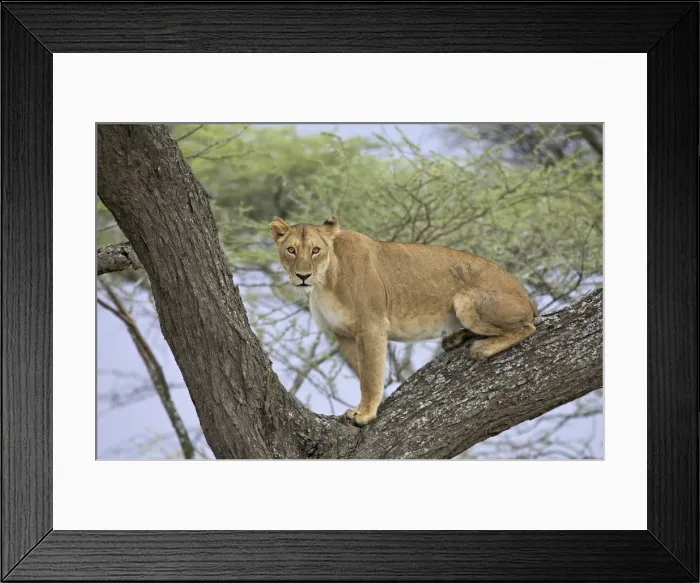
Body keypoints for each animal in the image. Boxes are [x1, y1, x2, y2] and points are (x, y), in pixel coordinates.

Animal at [270, 216, 538, 427]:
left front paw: (365, 414)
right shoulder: (343, 334)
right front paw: (367, 407)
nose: (303, 276)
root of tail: (527, 296)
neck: (324, 283)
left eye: (316, 250)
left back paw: (483, 348)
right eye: (291, 250)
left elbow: (371, 375)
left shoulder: (372, 325)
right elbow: (362, 372)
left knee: (528, 326)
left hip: (465, 299)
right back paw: (455, 339)